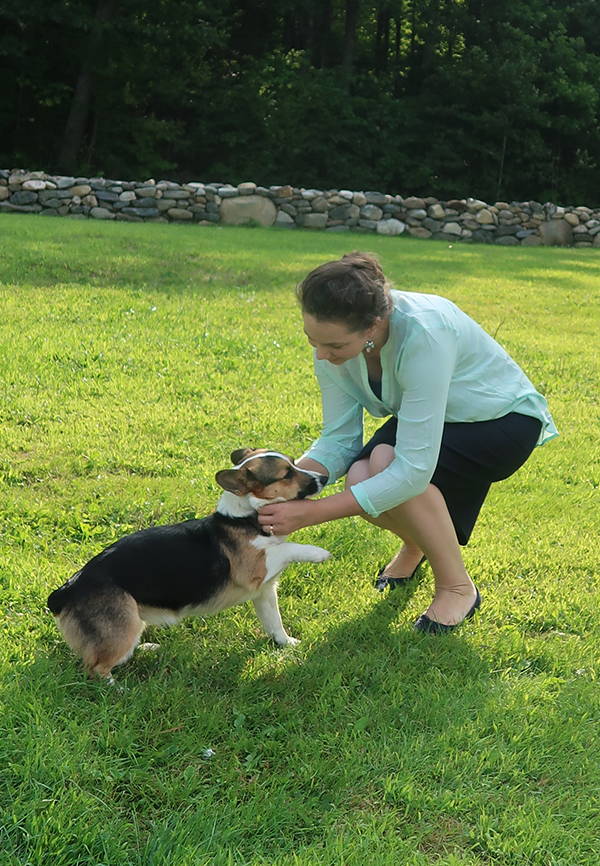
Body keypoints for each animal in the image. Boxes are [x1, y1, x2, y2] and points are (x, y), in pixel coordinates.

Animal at [46, 448, 328, 680]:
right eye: (287, 474)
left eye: (294, 463)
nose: (324, 478)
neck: (245, 517)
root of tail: (65, 591)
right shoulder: (255, 569)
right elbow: (288, 548)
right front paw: (317, 553)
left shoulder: (265, 592)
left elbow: (275, 624)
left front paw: (288, 644)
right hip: (122, 629)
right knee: (95, 669)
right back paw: (117, 688)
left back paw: (147, 647)